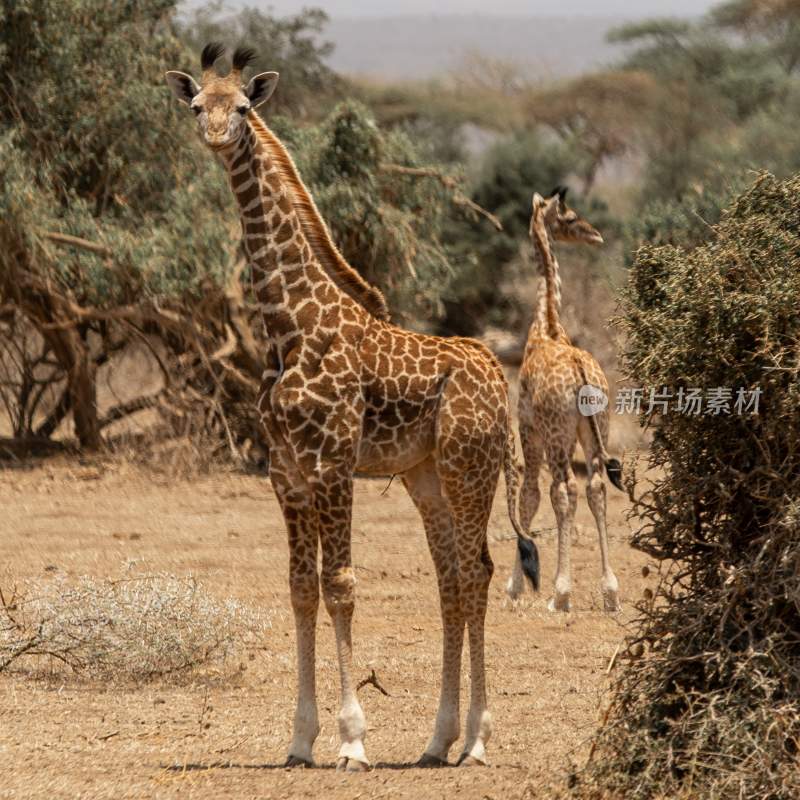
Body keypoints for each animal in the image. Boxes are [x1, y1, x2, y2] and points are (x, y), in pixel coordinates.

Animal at [164, 42, 536, 768]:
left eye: (242, 107)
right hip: (427, 478)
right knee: (451, 580)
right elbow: (300, 589)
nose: (216, 136)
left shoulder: (333, 465)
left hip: (469, 471)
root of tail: (497, 377)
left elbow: (340, 585)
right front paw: (300, 738)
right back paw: (437, 739)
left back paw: (477, 740)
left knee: (478, 573)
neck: (288, 325)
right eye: (197, 104)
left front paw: (352, 739)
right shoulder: (284, 473)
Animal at [506, 186, 624, 612]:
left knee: (564, 489)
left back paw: (561, 592)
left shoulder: (527, 426)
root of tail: (581, 374)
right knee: (596, 487)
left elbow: (530, 495)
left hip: (557, 435)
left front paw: (515, 587)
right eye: (570, 218)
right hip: (594, 428)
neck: (547, 325)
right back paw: (610, 591)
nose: (596, 235)